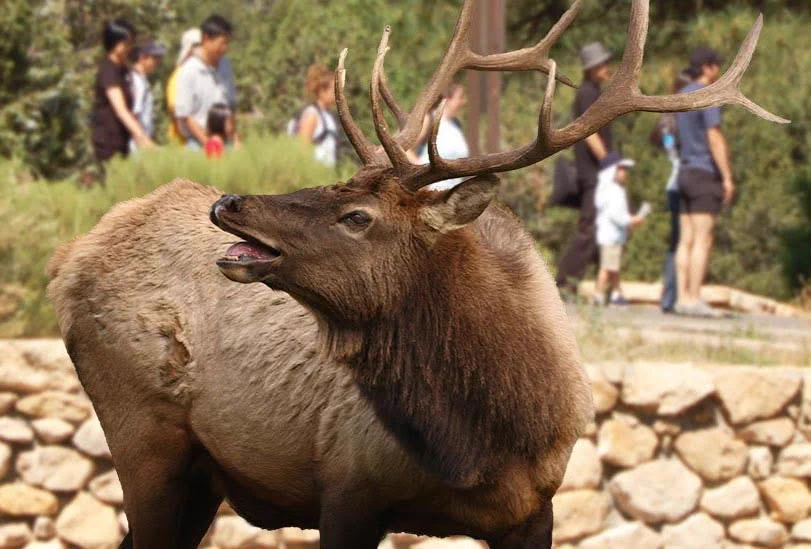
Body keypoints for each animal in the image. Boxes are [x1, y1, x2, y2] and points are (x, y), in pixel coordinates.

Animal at [47, 1, 786, 547]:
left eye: (356, 213)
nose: (227, 203)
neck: (484, 443)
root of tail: (69, 262)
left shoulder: (534, 509)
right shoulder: (346, 487)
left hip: (197, 475)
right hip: (144, 434)